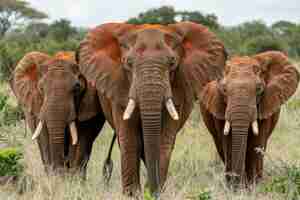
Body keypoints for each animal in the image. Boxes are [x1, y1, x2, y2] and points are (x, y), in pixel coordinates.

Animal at [78, 21, 226, 197]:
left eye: (172, 63)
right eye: (128, 63)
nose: (153, 192)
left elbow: (164, 140)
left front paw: (155, 192)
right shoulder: (119, 87)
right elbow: (129, 139)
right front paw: (132, 195)